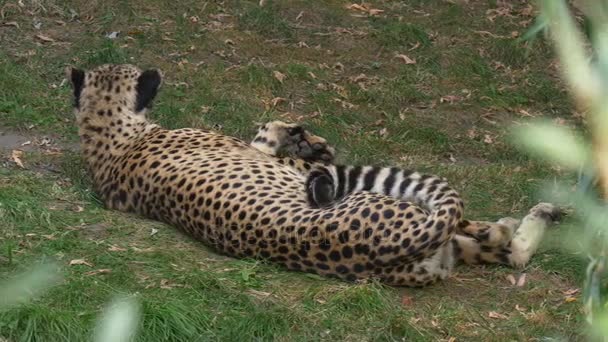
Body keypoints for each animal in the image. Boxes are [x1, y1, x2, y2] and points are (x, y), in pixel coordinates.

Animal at [65, 63, 560, 286]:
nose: (156, 71)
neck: (107, 138)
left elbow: (268, 129)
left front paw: (304, 135)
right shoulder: (276, 163)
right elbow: (282, 142)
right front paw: (309, 141)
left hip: (444, 249)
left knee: (506, 252)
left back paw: (539, 215)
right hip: (410, 209)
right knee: (491, 236)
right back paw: (518, 219)